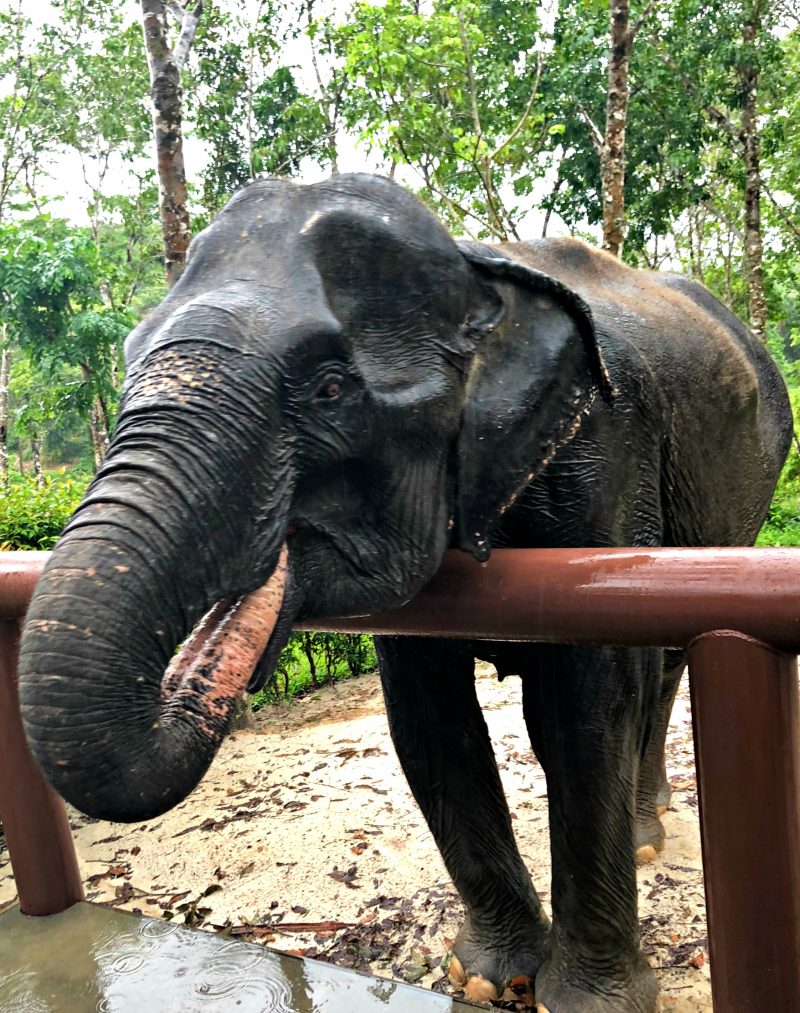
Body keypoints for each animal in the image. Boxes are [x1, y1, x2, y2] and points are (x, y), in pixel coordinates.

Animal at [18, 174, 791, 1012]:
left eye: (329, 389)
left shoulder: (603, 463)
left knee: (659, 666)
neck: (476, 273)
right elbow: (427, 715)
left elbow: (587, 706)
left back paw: (648, 833)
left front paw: (583, 1001)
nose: (191, 681)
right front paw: (485, 976)